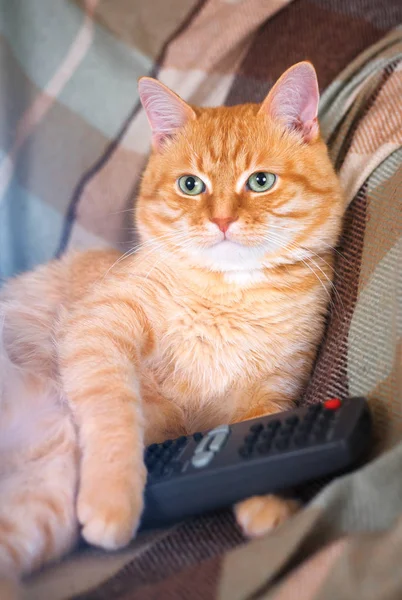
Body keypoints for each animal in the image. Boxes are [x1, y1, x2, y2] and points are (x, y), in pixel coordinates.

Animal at [0, 62, 346, 596]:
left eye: (260, 181)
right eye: (190, 185)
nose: (222, 220)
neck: (229, 298)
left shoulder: (274, 392)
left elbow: (254, 428)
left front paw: (268, 503)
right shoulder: (98, 328)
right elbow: (114, 415)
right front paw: (113, 499)